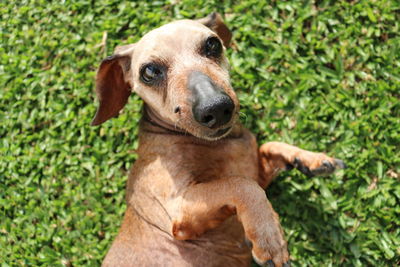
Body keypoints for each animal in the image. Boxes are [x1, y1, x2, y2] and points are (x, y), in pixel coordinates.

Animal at [92, 13, 346, 267]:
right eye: (150, 71)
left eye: (212, 44)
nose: (215, 107)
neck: (222, 142)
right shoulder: (179, 210)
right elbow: (240, 185)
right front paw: (270, 238)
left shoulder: (257, 174)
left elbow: (268, 148)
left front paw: (311, 159)